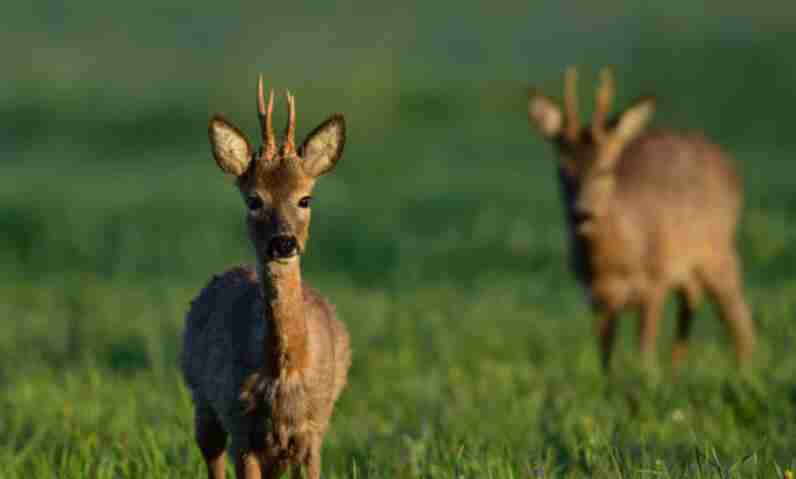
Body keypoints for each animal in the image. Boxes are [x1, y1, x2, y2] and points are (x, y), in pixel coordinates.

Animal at [183, 77, 352, 478]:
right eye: (254, 201)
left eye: (306, 199)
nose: (283, 242)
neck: (284, 372)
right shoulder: (241, 427)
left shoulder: (313, 430)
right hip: (202, 400)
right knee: (212, 459)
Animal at [524, 67, 756, 370]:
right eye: (562, 170)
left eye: (605, 169)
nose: (582, 214)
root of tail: (729, 164)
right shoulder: (597, 297)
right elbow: (605, 358)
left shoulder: (654, 282)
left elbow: (644, 352)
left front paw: (647, 379)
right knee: (689, 308)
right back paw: (677, 370)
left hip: (718, 251)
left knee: (738, 318)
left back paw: (745, 370)